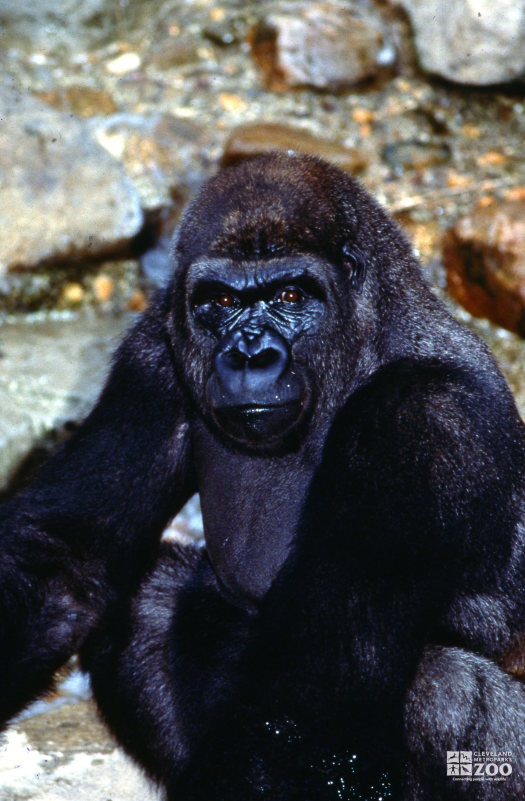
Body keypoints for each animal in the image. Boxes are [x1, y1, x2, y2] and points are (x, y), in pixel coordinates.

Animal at [1, 152, 524, 800]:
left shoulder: (421, 420)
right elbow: (67, 558)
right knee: (147, 599)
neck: (361, 347)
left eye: (291, 294)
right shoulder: (155, 352)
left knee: (440, 686)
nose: (250, 355)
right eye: (222, 302)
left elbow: (304, 705)